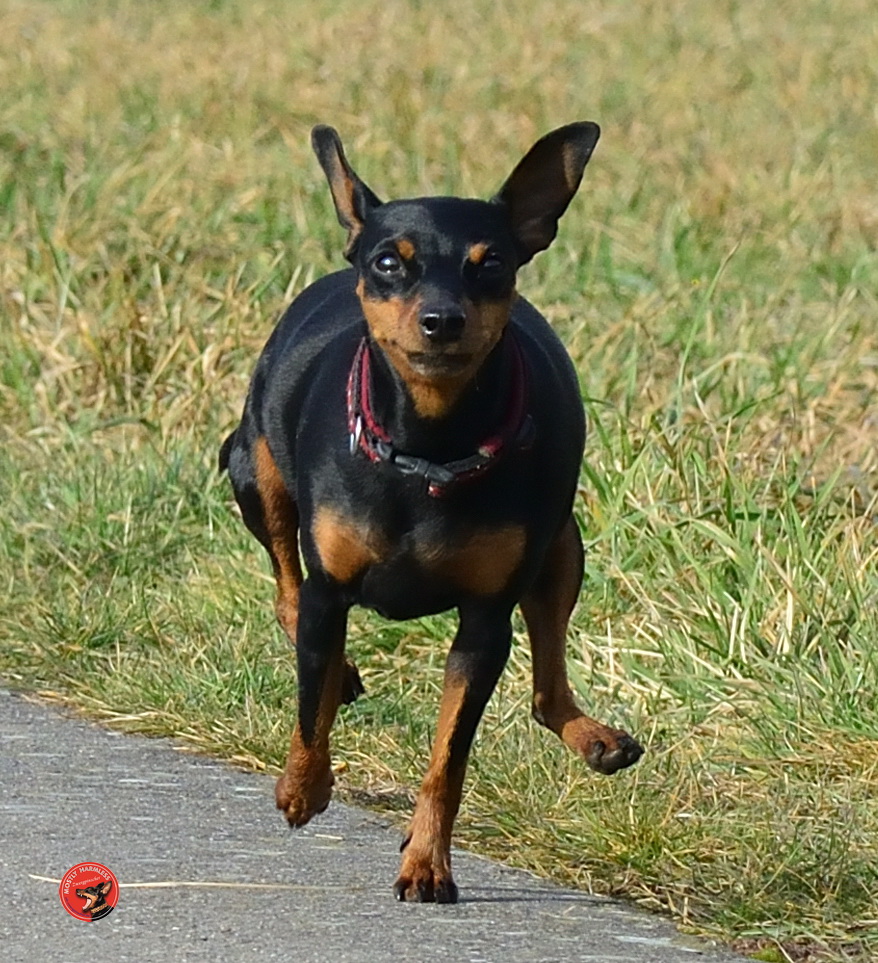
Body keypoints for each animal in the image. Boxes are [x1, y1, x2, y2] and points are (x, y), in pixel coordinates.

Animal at [220, 122, 648, 904]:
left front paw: (426, 860)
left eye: (492, 264)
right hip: (253, 472)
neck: (429, 449)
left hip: (563, 548)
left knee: (547, 687)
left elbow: (449, 759)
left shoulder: (484, 625)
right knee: (287, 594)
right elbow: (307, 702)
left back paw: (591, 736)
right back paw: (336, 679)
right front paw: (303, 787)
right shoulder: (331, 592)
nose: (442, 320)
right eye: (389, 262)